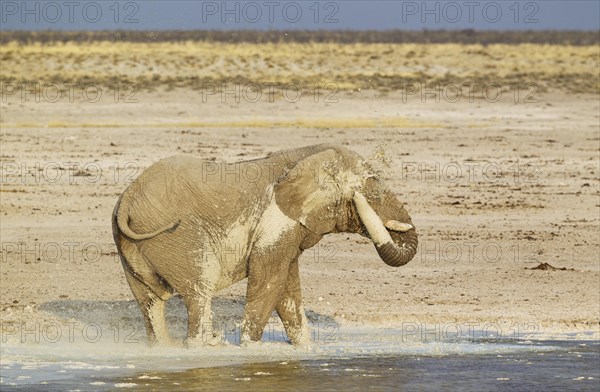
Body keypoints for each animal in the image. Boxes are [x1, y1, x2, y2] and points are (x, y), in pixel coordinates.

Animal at [112, 144, 418, 346]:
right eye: (372, 193)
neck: (310, 156)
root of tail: (128, 198)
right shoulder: (277, 220)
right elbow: (268, 281)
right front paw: (249, 349)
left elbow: (286, 287)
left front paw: (305, 350)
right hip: (177, 236)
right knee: (199, 290)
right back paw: (204, 346)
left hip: (130, 245)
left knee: (150, 300)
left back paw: (165, 348)